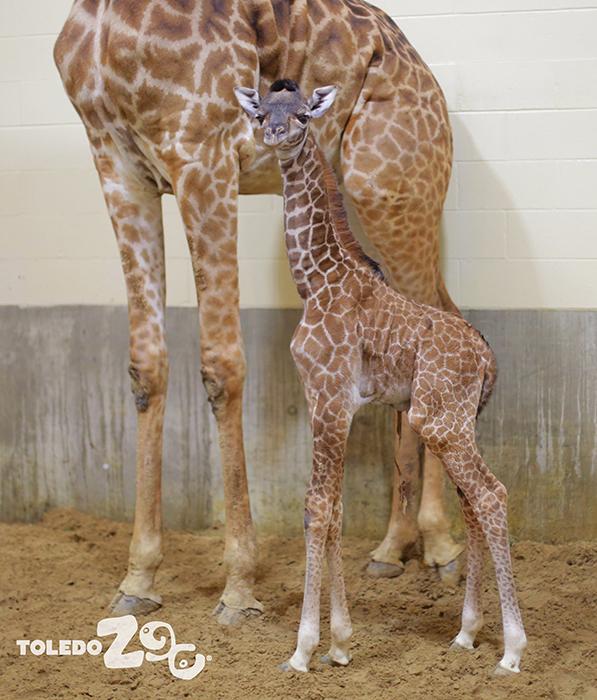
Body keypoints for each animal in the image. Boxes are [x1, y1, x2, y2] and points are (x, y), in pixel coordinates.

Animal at [54, 0, 463, 624]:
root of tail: (427, 77)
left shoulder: (204, 154)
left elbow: (221, 365)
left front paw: (239, 587)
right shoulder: (118, 163)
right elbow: (146, 366)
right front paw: (138, 579)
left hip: (392, 187)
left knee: (436, 318)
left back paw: (440, 547)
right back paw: (392, 548)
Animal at [235, 79, 527, 675]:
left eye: (303, 115)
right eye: (263, 111)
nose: (273, 133)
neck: (314, 282)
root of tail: (488, 361)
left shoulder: (325, 397)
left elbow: (316, 508)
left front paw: (303, 649)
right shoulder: (338, 406)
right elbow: (336, 511)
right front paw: (341, 643)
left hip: (438, 420)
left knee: (491, 495)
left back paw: (511, 650)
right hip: (456, 420)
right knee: (472, 501)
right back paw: (465, 634)